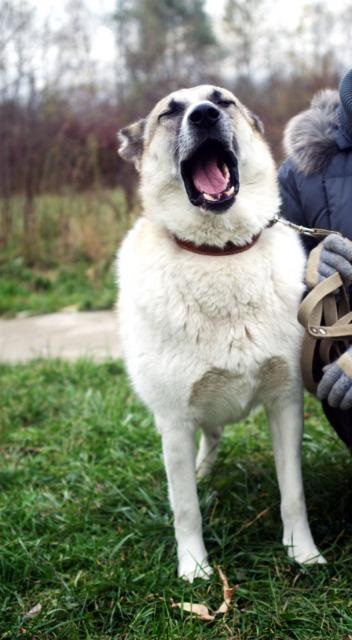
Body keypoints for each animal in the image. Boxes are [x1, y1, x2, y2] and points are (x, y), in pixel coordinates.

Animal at [116, 86, 324, 584]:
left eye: (222, 100)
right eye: (171, 111)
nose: (205, 115)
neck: (220, 252)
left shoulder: (285, 404)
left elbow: (293, 494)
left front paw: (302, 554)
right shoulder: (174, 421)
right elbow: (185, 508)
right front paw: (194, 568)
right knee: (203, 446)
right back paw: (201, 475)